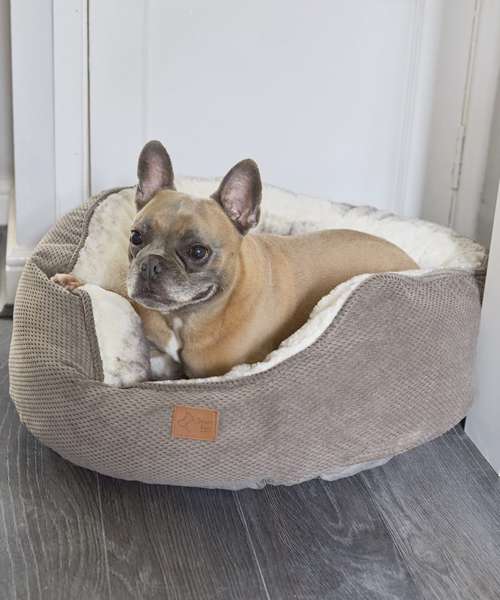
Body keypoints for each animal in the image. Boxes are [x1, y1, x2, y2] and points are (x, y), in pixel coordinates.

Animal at [52, 140, 418, 378]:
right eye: (136, 237)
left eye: (197, 252)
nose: (151, 263)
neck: (188, 316)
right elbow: (123, 295)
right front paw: (77, 281)